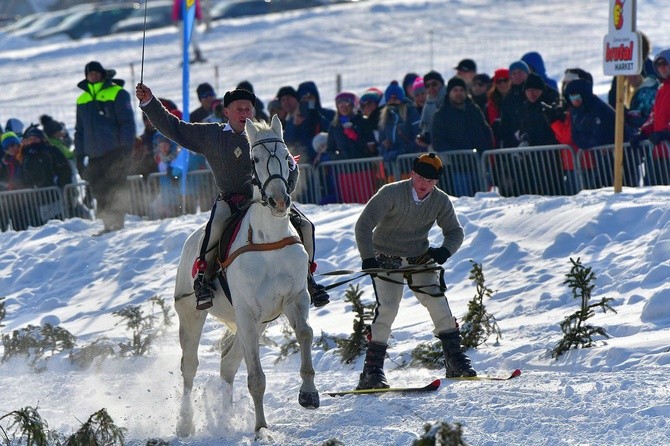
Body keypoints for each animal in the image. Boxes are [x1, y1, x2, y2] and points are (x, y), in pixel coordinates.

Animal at [173, 114, 320, 436]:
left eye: (287, 156)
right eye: (255, 158)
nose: (279, 201)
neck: (268, 240)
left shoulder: (294, 299)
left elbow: (305, 332)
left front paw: (309, 393)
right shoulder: (247, 312)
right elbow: (256, 378)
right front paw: (261, 427)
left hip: (257, 323)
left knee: (227, 367)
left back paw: (225, 418)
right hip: (193, 315)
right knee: (189, 367)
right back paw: (185, 424)